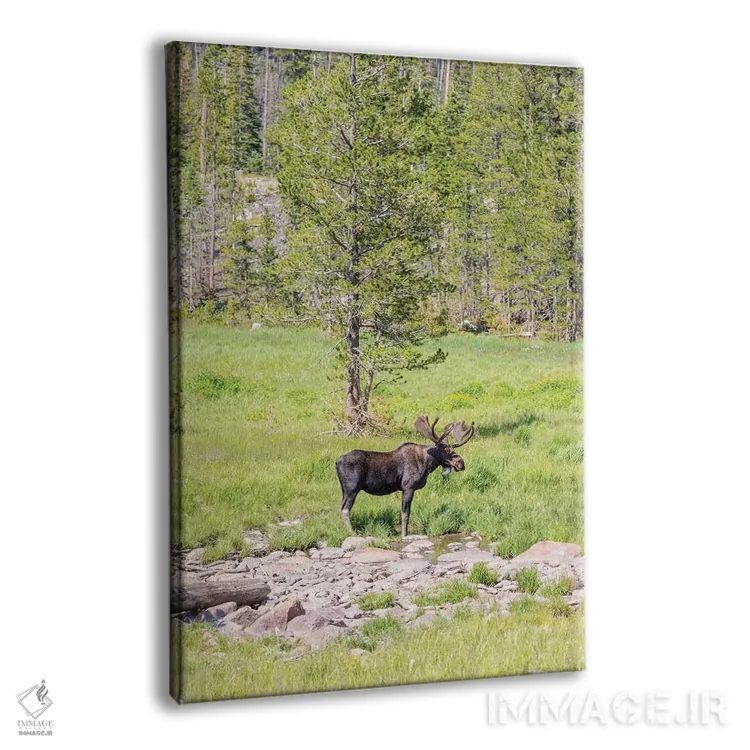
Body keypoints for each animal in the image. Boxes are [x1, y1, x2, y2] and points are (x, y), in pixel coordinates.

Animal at [336, 416, 477, 538]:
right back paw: (353, 533)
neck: (427, 465)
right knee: (345, 510)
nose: (461, 463)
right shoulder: (408, 487)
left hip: (344, 489)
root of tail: (337, 461)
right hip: (352, 488)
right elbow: (405, 514)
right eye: (446, 450)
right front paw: (404, 535)